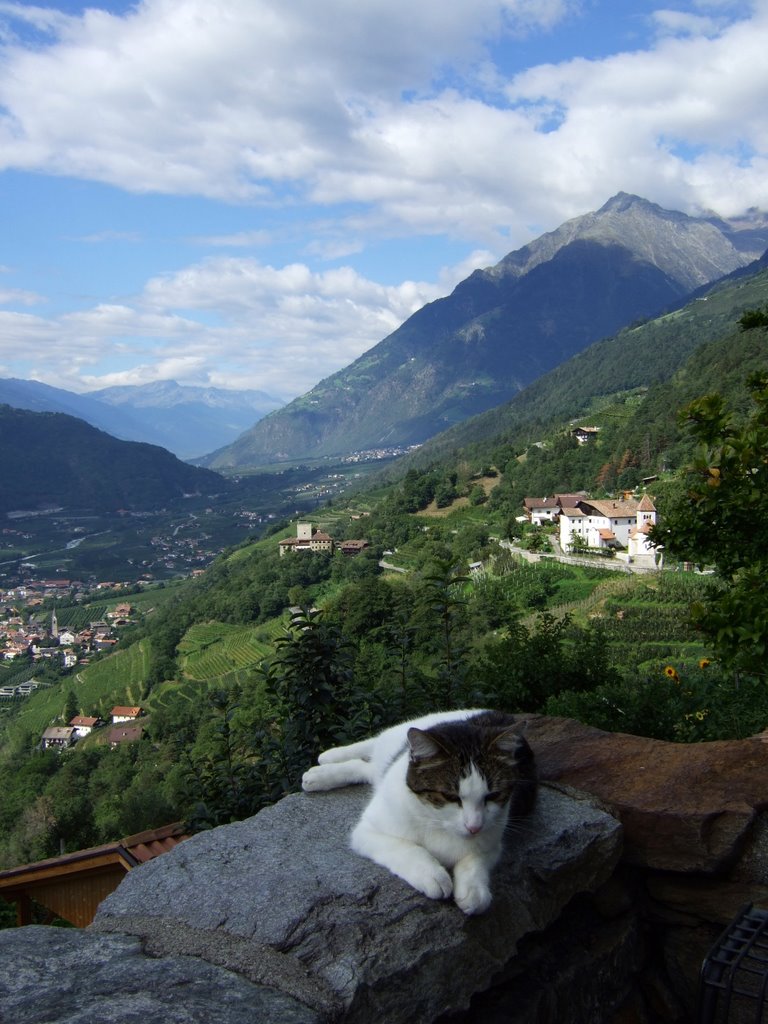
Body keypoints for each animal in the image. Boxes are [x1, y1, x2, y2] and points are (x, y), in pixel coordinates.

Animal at [301, 708, 536, 917]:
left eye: (493, 795)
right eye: (451, 796)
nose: (474, 826)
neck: (437, 822)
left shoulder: (494, 842)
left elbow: (475, 860)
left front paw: (473, 890)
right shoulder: (367, 831)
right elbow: (405, 848)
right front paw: (432, 874)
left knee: (366, 768)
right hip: (400, 734)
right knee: (374, 744)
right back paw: (327, 760)